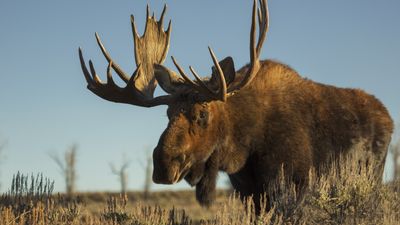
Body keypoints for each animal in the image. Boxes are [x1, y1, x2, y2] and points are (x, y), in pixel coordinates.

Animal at [79, 0, 394, 211]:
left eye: (202, 113)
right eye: (167, 113)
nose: (163, 164)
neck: (243, 146)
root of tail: (388, 117)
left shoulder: (294, 186)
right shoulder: (247, 192)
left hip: (372, 178)